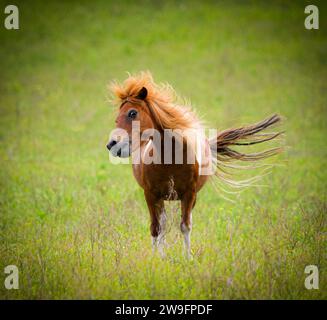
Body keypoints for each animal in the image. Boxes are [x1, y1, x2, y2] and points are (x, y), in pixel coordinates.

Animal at [107, 72, 282, 258]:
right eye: (117, 118)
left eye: (132, 113)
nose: (111, 144)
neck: (170, 160)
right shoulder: (150, 194)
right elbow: (156, 228)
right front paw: (156, 258)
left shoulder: (189, 194)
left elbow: (185, 226)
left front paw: (187, 258)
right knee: (162, 223)